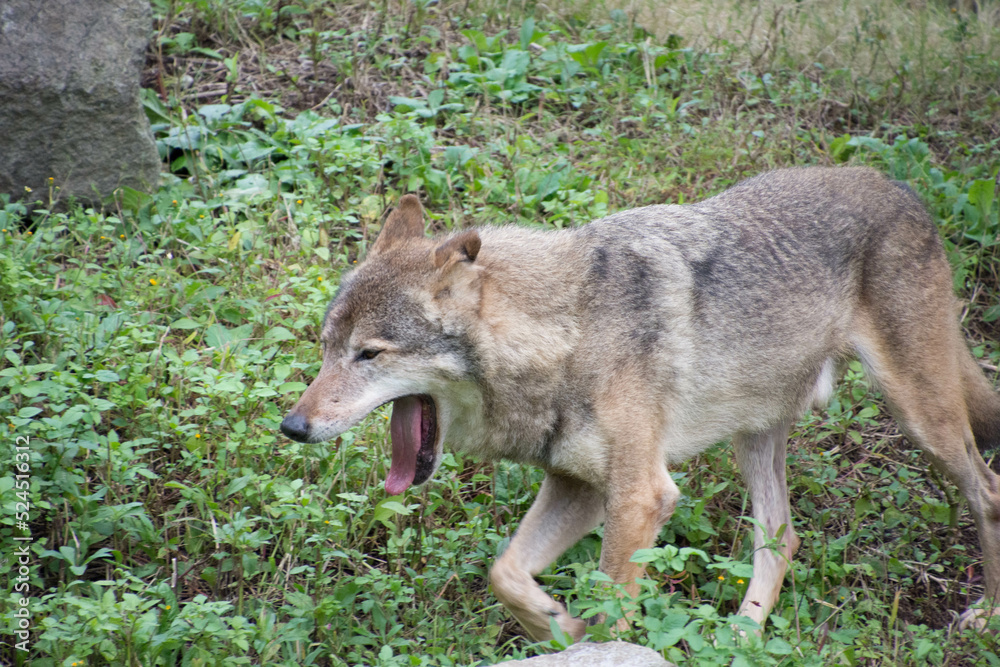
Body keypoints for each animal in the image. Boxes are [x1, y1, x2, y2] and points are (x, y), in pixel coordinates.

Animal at [280, 167, 1000, 640]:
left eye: (369, 354)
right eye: (326, 347)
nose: (292, 425)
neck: (570, 331)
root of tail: (903, 189)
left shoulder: (638, 496)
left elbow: (612, 611)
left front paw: (586, 637)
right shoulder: (579, 485)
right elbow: (504, 572)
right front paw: (557, 625)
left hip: (922, 418)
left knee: (987, 490)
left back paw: (987, 613)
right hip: (754, 439)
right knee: (782, 538)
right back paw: (738, 641)